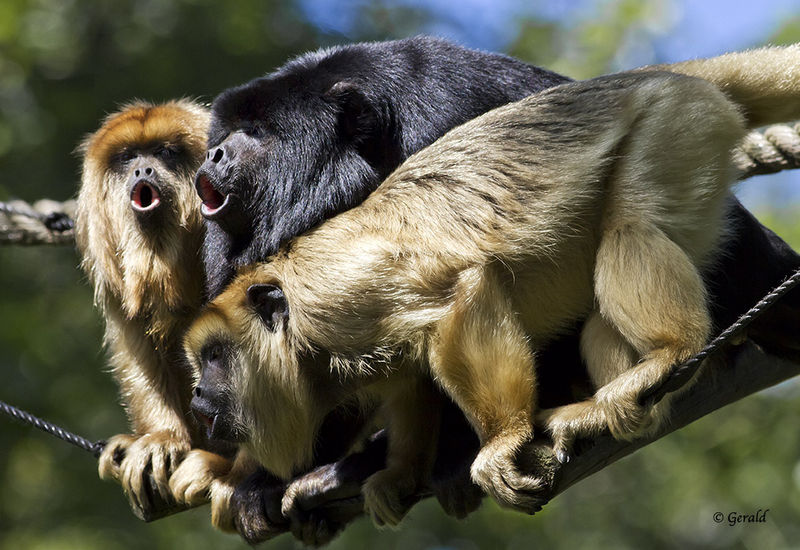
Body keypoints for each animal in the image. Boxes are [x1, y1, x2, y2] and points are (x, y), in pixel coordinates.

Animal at [183, 45, 800, 527]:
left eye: (214, 359)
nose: (196, 396)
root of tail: (663, 77)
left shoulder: (337, 299)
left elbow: (461, 299)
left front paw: (499, 441)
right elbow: (411, 378)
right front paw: (398, 473)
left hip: (670, 127)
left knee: (630, 224)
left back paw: (671, 352)